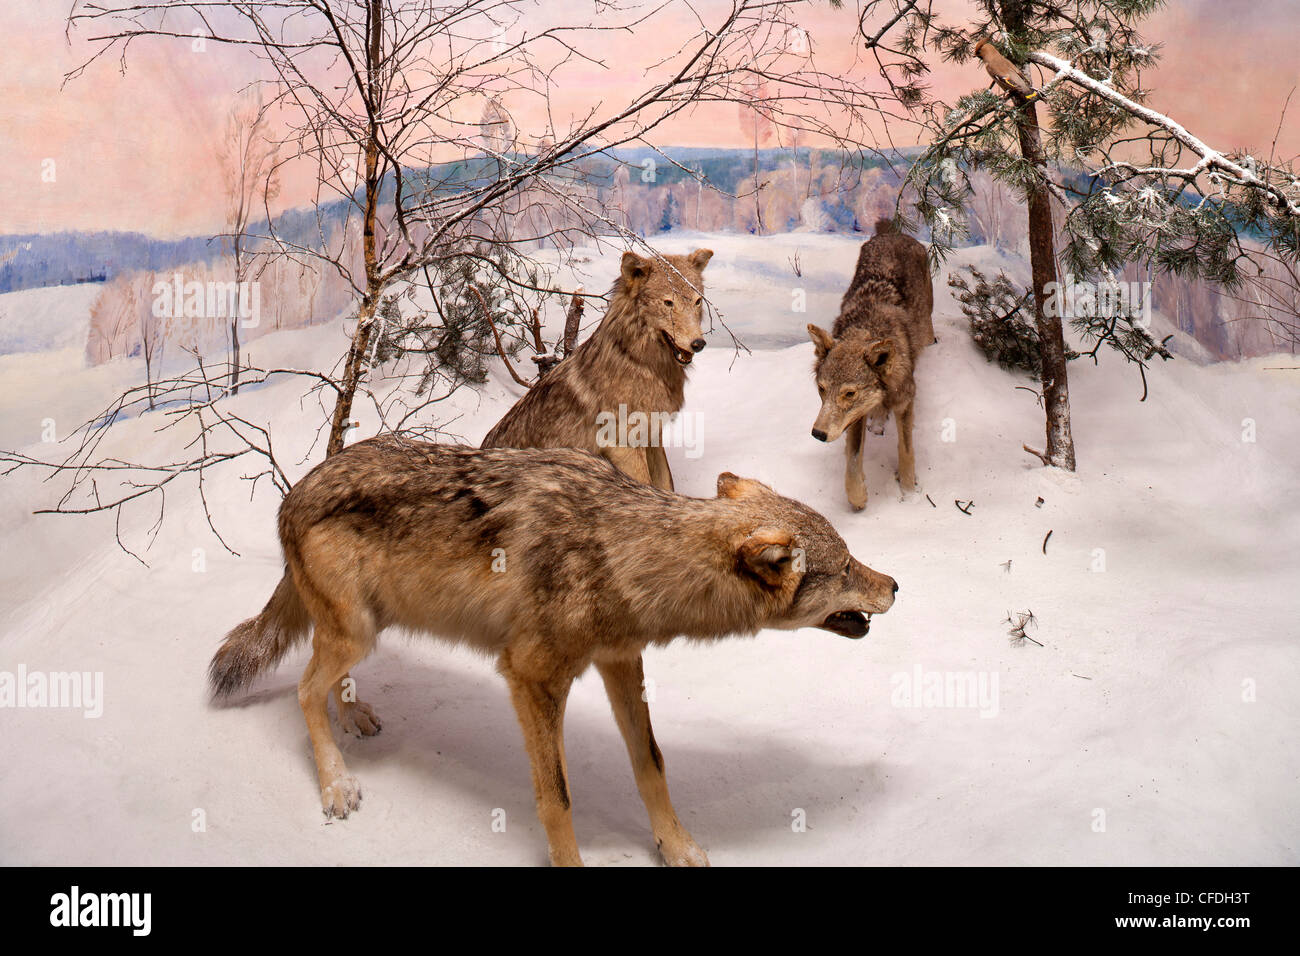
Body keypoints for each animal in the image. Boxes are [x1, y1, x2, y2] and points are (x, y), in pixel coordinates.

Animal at [213, 437, 899, 868]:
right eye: (845, 568)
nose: (895, 585)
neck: (620, 552)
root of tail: (293, 491)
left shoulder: (621, 662)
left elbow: (652, 764)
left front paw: (677, 849)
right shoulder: (532, 678)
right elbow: (558, 799)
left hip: (364, 631)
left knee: (326, 679)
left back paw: (355, 716)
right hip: (356, 631)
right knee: (304, 688)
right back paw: (336, 785)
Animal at [483, 247, 717, 489]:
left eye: (697, 301)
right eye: (668, 303)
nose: (698, 343)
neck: (640, 363)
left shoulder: (653, 437)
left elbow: (666, 486)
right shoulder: (624, 447)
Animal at [806, 219, 930, 512]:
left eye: (849, 393)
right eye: (821, 389)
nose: (818, 433)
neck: (867, 328)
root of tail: (893, 234)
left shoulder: (905, 402)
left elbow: (906, 452)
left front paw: (910, 494)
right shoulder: (855, 417)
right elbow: (851, 465)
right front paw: (859, 498)